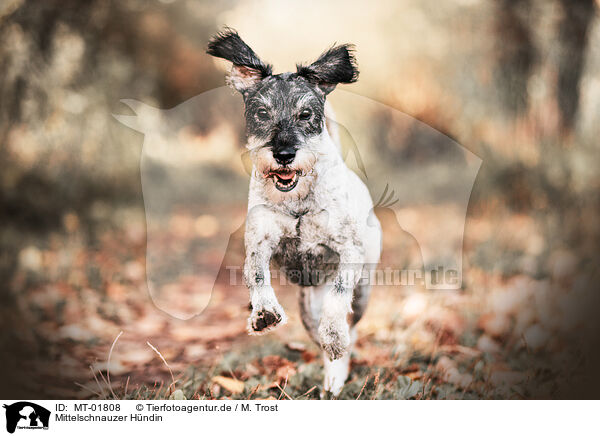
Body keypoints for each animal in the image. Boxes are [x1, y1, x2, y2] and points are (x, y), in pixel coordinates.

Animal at [209, 28, 382, 396]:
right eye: (262, 112)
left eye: (305, 114)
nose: (284, 154)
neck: (298, 203)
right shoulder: (259, 243)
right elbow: (256, 274)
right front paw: (263, 312)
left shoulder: (350, 251)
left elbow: (338, 297)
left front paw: (334, 336)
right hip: (306, 305)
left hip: (363, 290)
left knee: (350, 325)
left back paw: (337, 361)